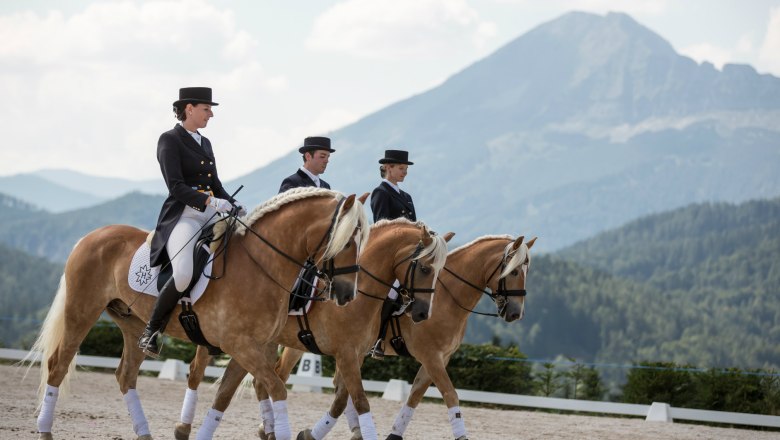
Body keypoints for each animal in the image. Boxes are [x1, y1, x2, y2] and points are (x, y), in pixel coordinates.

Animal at [29, 187, 370, 438]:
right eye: (346, 240)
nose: (346, 295)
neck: (261, 263)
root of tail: (90, 236)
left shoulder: (250, 348)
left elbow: (226, 395)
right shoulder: (241, 345)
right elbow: (276, 389)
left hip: (132, 321)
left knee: (125, 374)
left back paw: (144, 432)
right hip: (81, 311)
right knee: (58, 364)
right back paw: (45, 431)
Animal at [172, 218, 450, 440]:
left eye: (440, 272)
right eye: (425, 268)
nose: (422, 313)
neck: (360, 290)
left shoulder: (355, 354)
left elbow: (342, 399)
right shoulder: (346, 353)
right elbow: (360, 400)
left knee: (264, 381)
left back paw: (268, 430)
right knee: (197, 372)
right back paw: (184, 427)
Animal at [286, 232, 536, 438]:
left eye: (527, 272)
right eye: (514, 271)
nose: (516, 313)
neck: (447, 296)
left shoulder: (440, 358)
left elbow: (415, 396)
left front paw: (394, 435)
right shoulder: (431, 356)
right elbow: (450, 395)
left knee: (340, 387)